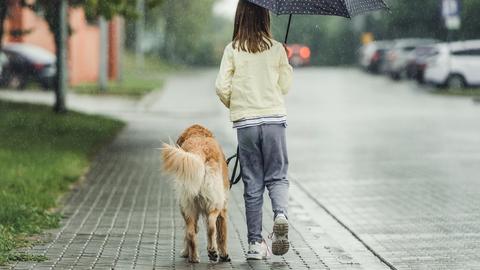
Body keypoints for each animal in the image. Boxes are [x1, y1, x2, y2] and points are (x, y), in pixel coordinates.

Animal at [161, 125, 231, 264]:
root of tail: (199, 151)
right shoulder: (224, 209)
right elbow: (222, 234)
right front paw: (224, 255)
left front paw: (185, 253)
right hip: (216, 203)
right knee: (211, 226)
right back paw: (212, 251)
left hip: (187, 206)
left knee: (190, 232)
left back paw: (193, 257)